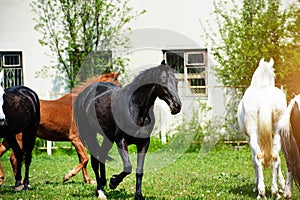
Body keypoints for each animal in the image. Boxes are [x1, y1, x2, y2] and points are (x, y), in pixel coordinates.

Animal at [74, 62, 183, 198]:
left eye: (176, 81)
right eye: (162, 81)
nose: (177, 106)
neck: (135, 108)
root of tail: (84, 95)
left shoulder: (144, 143)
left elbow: (139, 171)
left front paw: (138, 195)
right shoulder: (121, 141)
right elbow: (128, 167)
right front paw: (113, 182)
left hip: (107, 137)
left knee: (102, 156)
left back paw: (103, 184)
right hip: (90, 134)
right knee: (95, 161)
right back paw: (100, 191)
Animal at [237, 57, 288, 198]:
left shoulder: (248, 138)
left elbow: (254, 160)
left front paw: (256, 186)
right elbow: (278, 159)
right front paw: (282, 186)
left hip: (253, 135)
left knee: (259, 157)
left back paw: (261, 192)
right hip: (277, 133)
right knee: (275, 157)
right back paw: (275, 192)